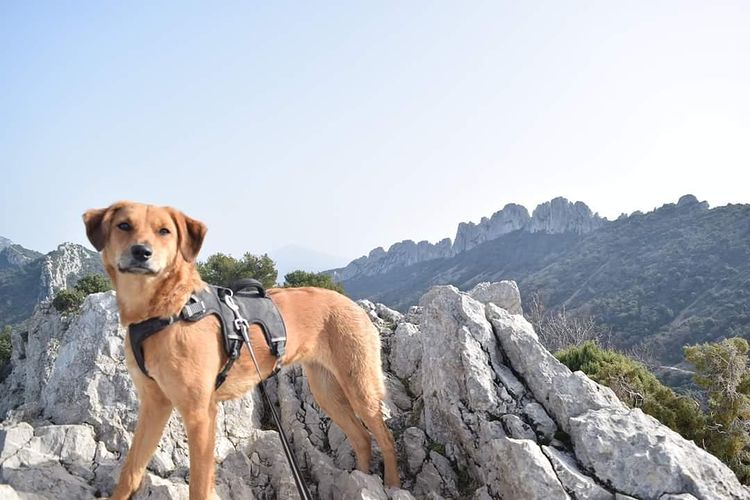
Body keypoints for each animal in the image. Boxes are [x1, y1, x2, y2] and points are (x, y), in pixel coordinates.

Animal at [81, 201, 400, 498]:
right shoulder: (154, 405)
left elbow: (199, 486)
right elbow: (131, 470)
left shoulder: (200, 414)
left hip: (360, 388)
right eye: (123, 225)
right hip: (326, 391)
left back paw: (392, 485)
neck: (167, 309)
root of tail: (353, 304)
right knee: (361, 438)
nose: (141, 252)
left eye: (164, 231)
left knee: (384, 438)